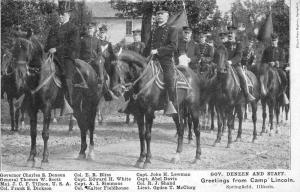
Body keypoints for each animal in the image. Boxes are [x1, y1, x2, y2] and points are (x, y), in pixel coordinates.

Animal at [12, 33, 101, 167]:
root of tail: (91, 69)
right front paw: (31, 159)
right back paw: (81, 152)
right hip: (76, 108)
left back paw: (90, 153)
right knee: (82, 126)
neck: (39, 76)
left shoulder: (47, 108)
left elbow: (45, 134)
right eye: (15, 49)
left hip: (91, 105)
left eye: (27, 48)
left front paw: (44, 159)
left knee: (90, 125)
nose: (20, 73)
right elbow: (33, 133)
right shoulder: (32, 109)